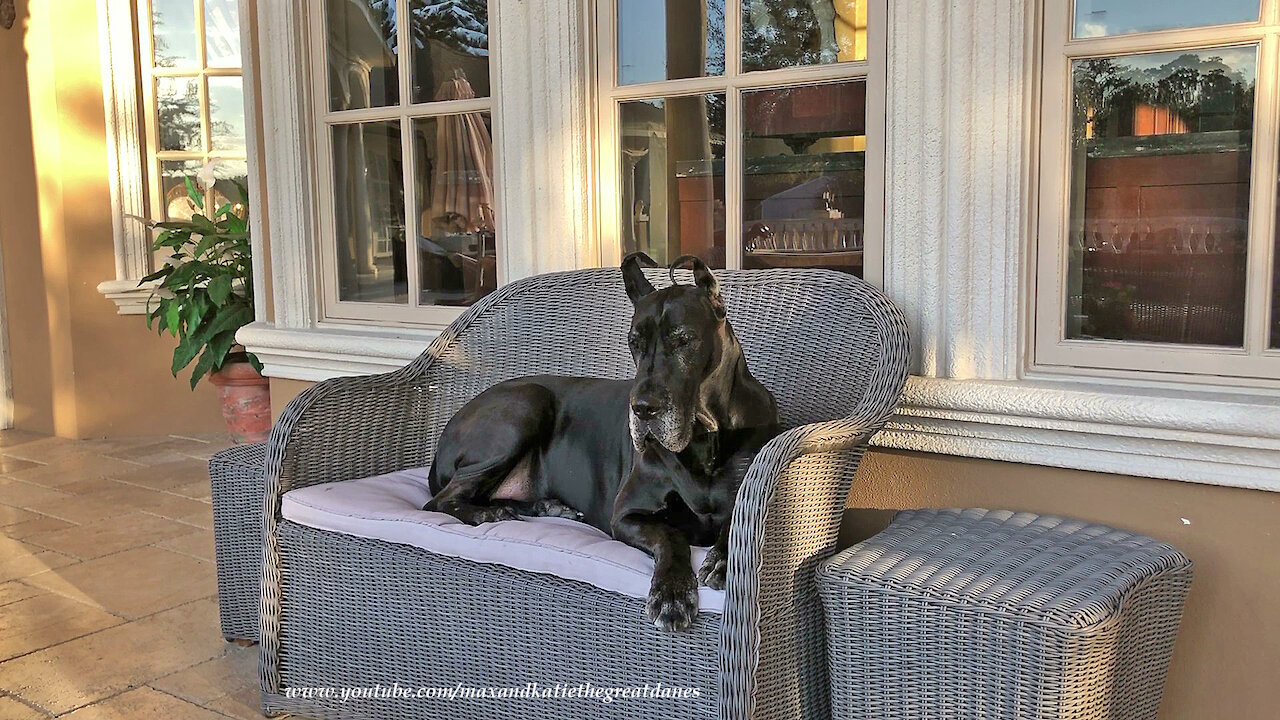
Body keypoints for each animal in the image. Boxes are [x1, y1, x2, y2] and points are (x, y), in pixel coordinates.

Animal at [424, 252, 778, 627]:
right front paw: (672, 594)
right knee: (439, 501)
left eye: (683, 339)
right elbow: (671, 536)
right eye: (634, 342)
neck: (703, 438)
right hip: (526, 404)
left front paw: (723, 560)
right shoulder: (626, 515)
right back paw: (489, 515)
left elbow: (733, 524)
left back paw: (543, 506)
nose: (642, 409)